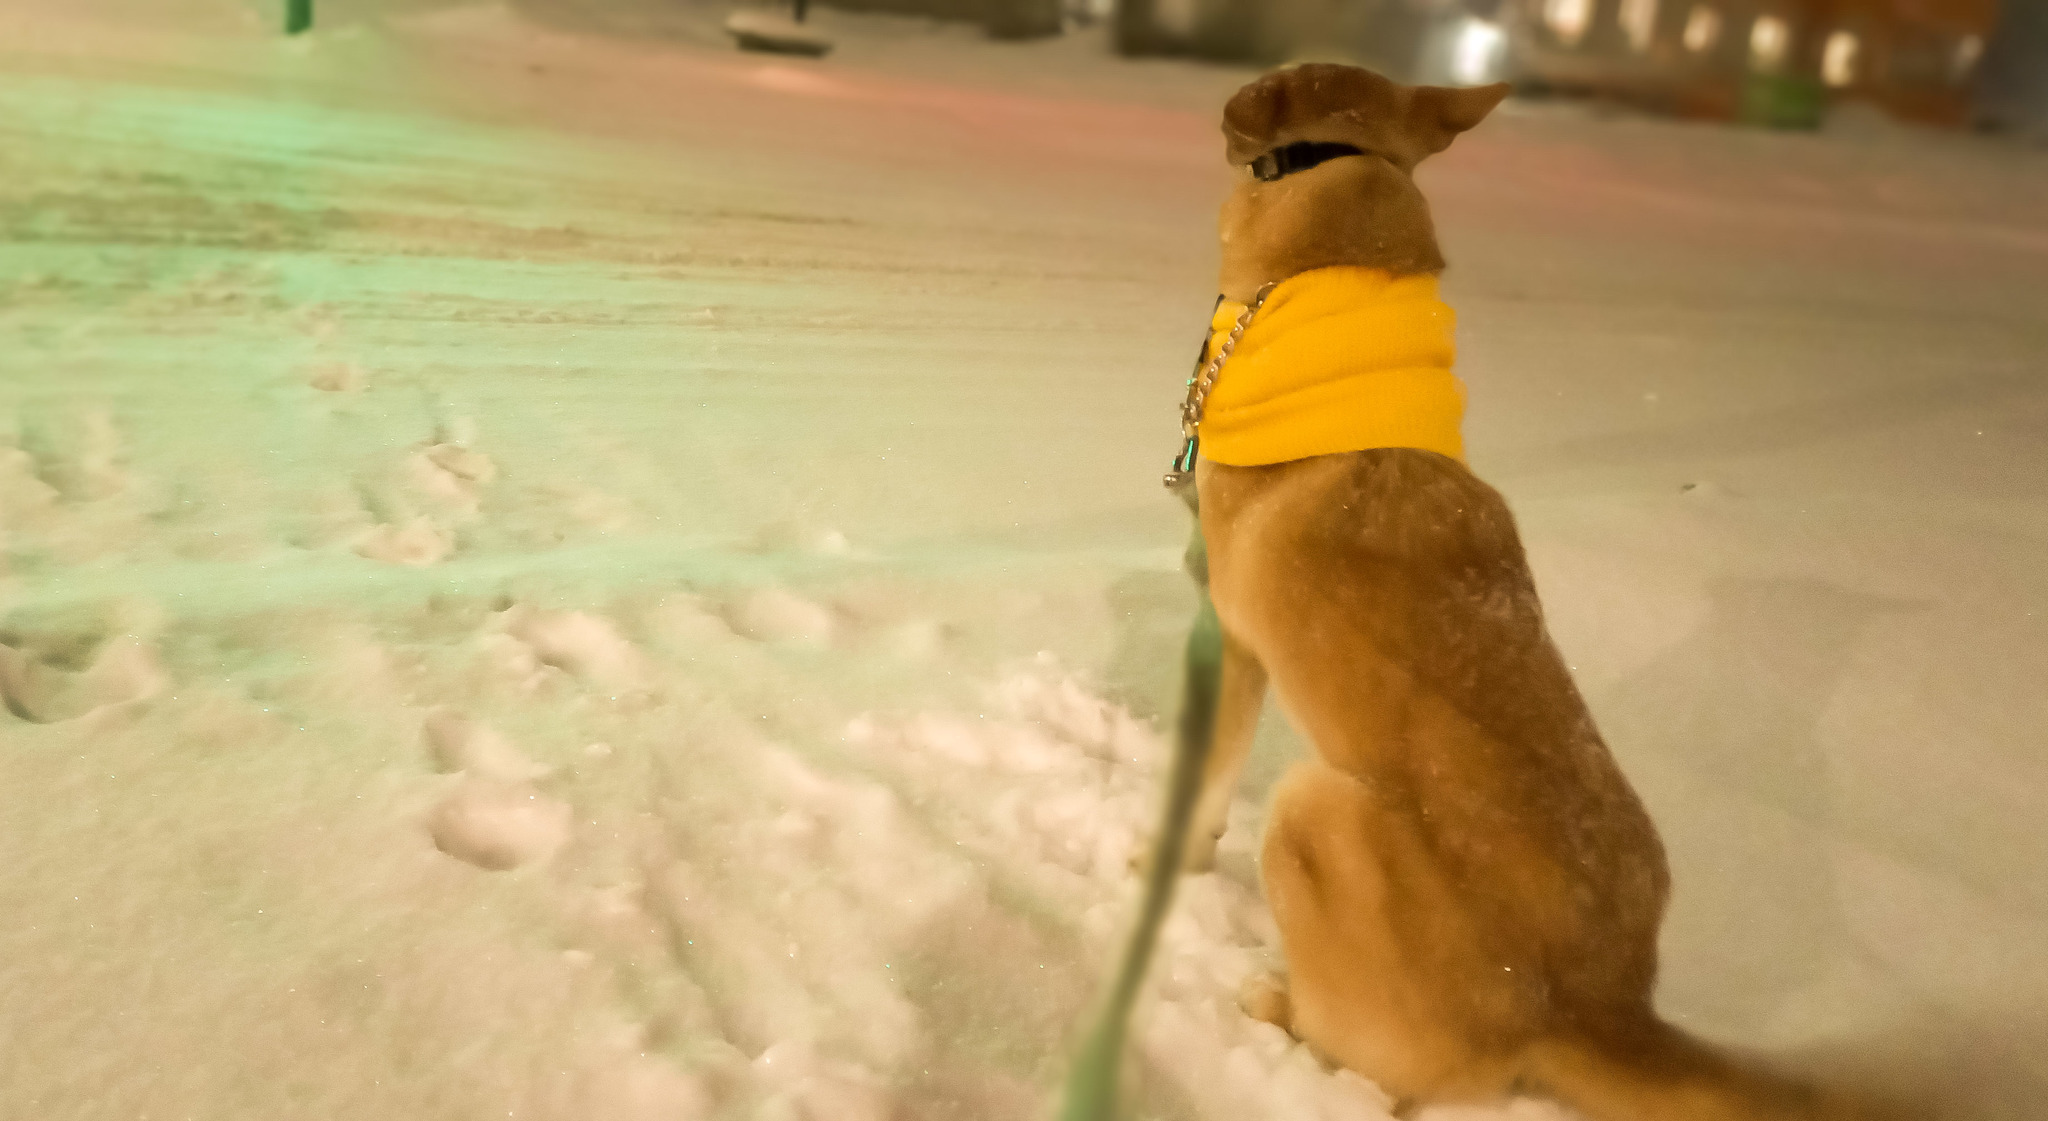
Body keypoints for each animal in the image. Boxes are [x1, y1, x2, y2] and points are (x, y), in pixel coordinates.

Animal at [1179, 65, 1851, 1121]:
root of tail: (1584, 1007)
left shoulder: (1234, 641)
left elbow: (1199, 792)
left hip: (1312, 808)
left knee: (1368, 1059)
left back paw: (1276, 1004)